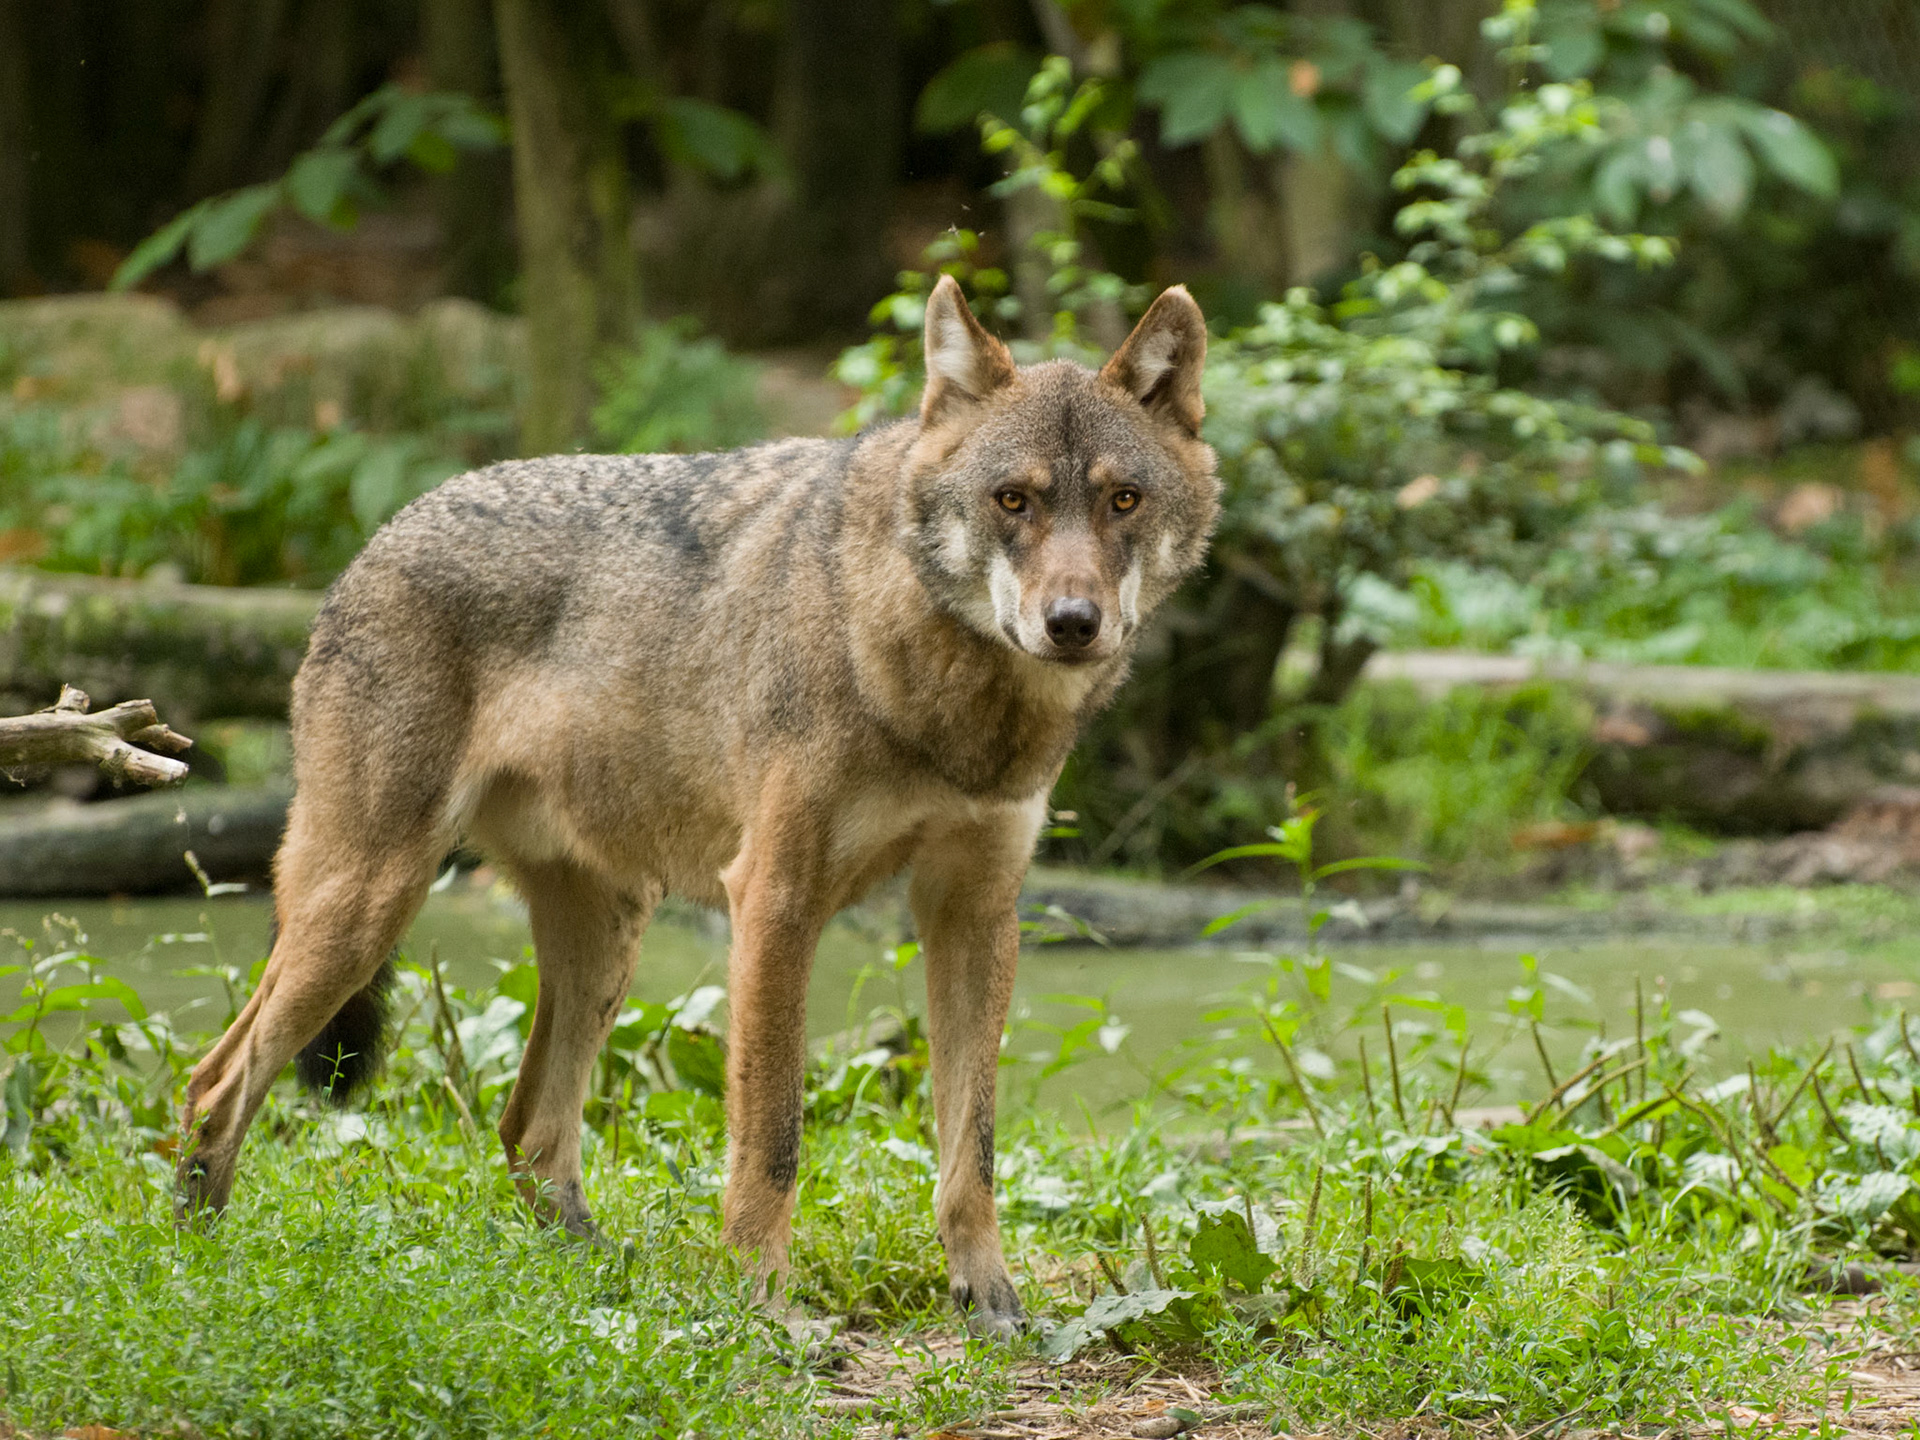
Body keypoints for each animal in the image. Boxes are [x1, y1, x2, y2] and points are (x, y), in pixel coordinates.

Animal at [175, 275, 1218, 1336]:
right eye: (1014, 500)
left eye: (1122, 500)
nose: (1073, 624)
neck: (942, 693)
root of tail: (373, 539)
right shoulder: (774, 901)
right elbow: (773, 1139)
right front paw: (767, 1308)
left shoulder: (975, 912)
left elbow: (975, 1147)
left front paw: (991, 1302)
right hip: (367, 906)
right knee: (213, 1083)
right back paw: (196, 1267)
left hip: (604, 939)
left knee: (526, 1128)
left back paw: (598, 1278)